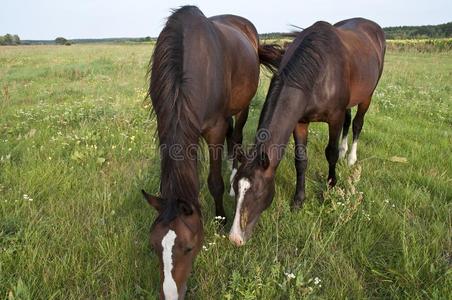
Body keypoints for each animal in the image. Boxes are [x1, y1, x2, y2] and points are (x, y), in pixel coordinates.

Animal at [142, 5, 282, 298]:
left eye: (188, 248)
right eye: (154, 246)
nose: (171, 295)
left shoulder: (214, 130)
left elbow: (214, 181)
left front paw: (220, 217)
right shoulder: (165, 125)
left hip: (242, 105)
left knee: (236, 135)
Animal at [230, 18, 384, 246]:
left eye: (257, 193)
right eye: (235, 187)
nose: (234, 238)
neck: (318, 71)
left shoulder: (334, 118)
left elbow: (330, 153)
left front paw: (330, 187)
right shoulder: (300, 122)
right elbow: (300, 160)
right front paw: (298, 200)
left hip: (368, 95)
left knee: (357, 124)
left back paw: (350, 158)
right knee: (349, 122)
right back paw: (344, 149)